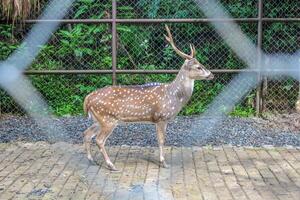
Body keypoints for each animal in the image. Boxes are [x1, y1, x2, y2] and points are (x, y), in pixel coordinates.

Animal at [82, 25, 213, 170]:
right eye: (198, 67)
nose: (211, 75)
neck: (174, 96)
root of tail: (87, 99)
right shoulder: (162, 117)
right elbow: (161, 140)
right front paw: (164, 163)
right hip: (107, 119)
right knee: (99, 140)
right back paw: (111, 165)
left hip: (98, 119)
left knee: (87, 134)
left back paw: (92, 160)